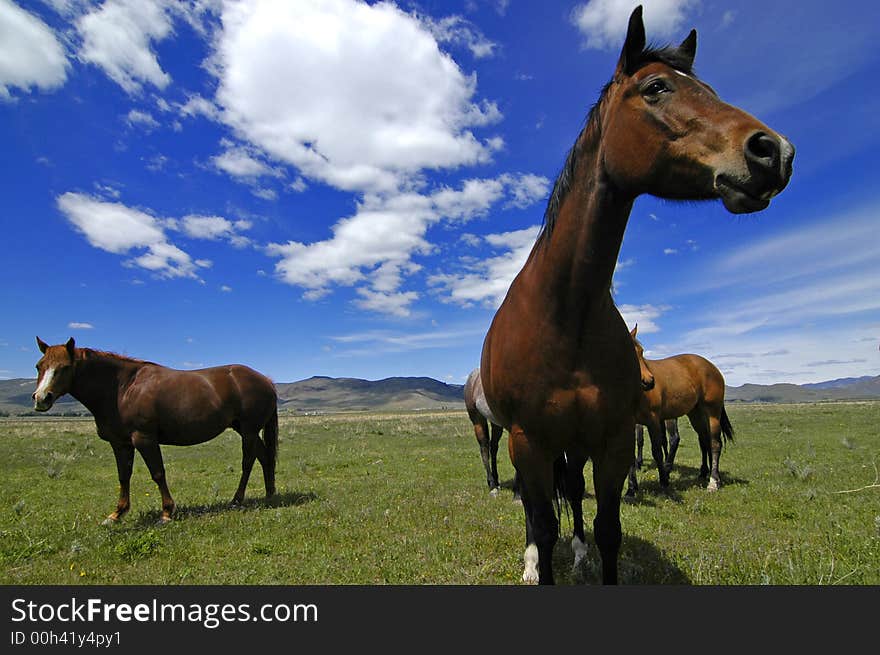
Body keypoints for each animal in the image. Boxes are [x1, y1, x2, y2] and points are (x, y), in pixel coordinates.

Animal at [33, 338, 278, 524]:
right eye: (39, 366)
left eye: (65, 367)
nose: (41, 398)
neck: (123, 388)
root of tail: (266, 380)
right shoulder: (120, 443)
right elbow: (124, 475)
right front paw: (117, 513)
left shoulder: (145, 439)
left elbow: (158, 473)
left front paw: (167, 512)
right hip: (246, 430)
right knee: (265, 457)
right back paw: (269, 495)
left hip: (248, 431)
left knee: (248, 462)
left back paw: (237, 500)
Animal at [624, 330, 736, 494]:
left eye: (641, 352)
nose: (649, 382)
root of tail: (712, 367)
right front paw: (631, 489)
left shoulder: (653, 420)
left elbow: (657, 450)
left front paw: (664, 482)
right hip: (696, 415)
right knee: (704, 440)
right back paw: (705, 472)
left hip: (712, 413)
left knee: (714, 443)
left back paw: (713, 481)